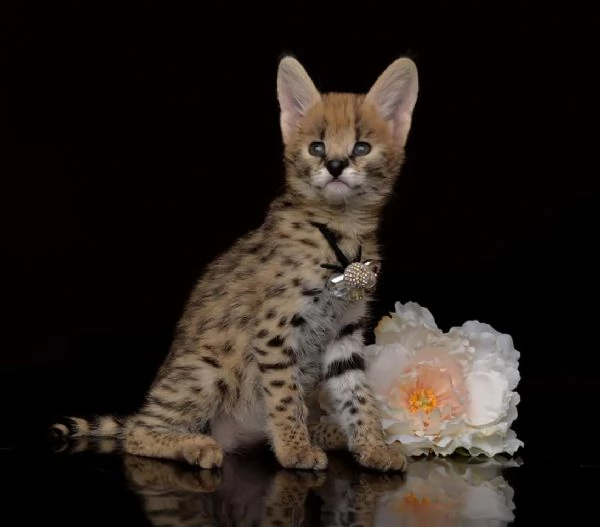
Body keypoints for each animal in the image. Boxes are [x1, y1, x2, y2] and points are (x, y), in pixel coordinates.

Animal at [50, 55, 418, 472]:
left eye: (361, 147)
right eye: (317, 147)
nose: (336, 165)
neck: (340, 228)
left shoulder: (345, 331)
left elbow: (358, 396)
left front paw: (372, 446)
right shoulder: (274, 329)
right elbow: (284, 396)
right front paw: (294, 449)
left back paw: (329, 433)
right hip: (207, 372)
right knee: (138, 432)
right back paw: (195, 445)